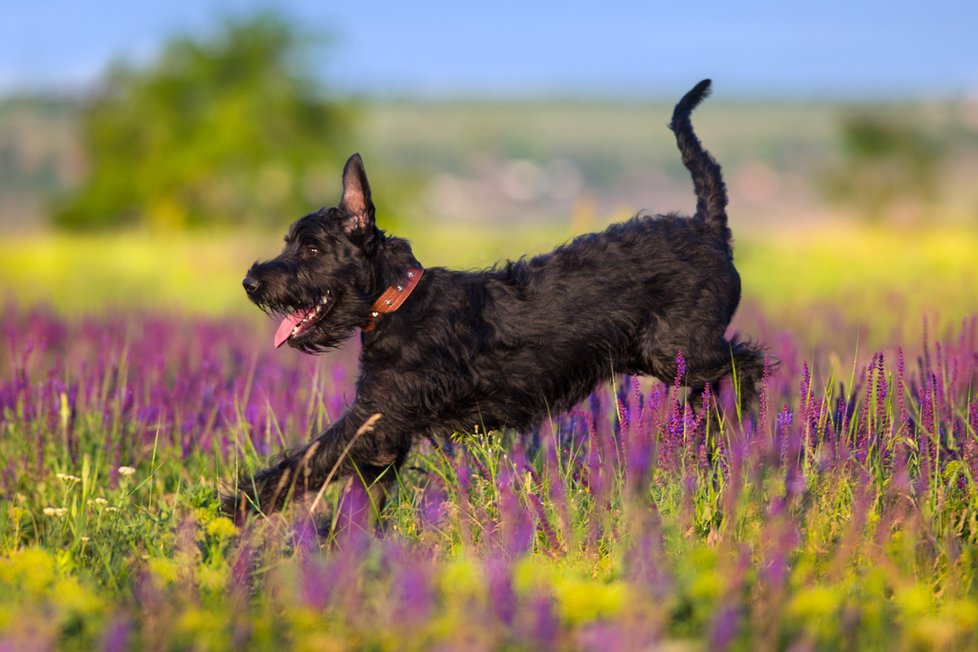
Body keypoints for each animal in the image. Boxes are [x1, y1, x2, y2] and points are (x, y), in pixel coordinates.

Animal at [227, 80, 764, 520]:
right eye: (289, 242)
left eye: (312, 249)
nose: (251, 282)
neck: (398, 301)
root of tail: (709, 228)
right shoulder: (383, 433)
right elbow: (355, 499)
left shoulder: (373, 419)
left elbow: (303, 462)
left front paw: (233, 507)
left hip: (677, 349)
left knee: (747, 364)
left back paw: (727, 425)